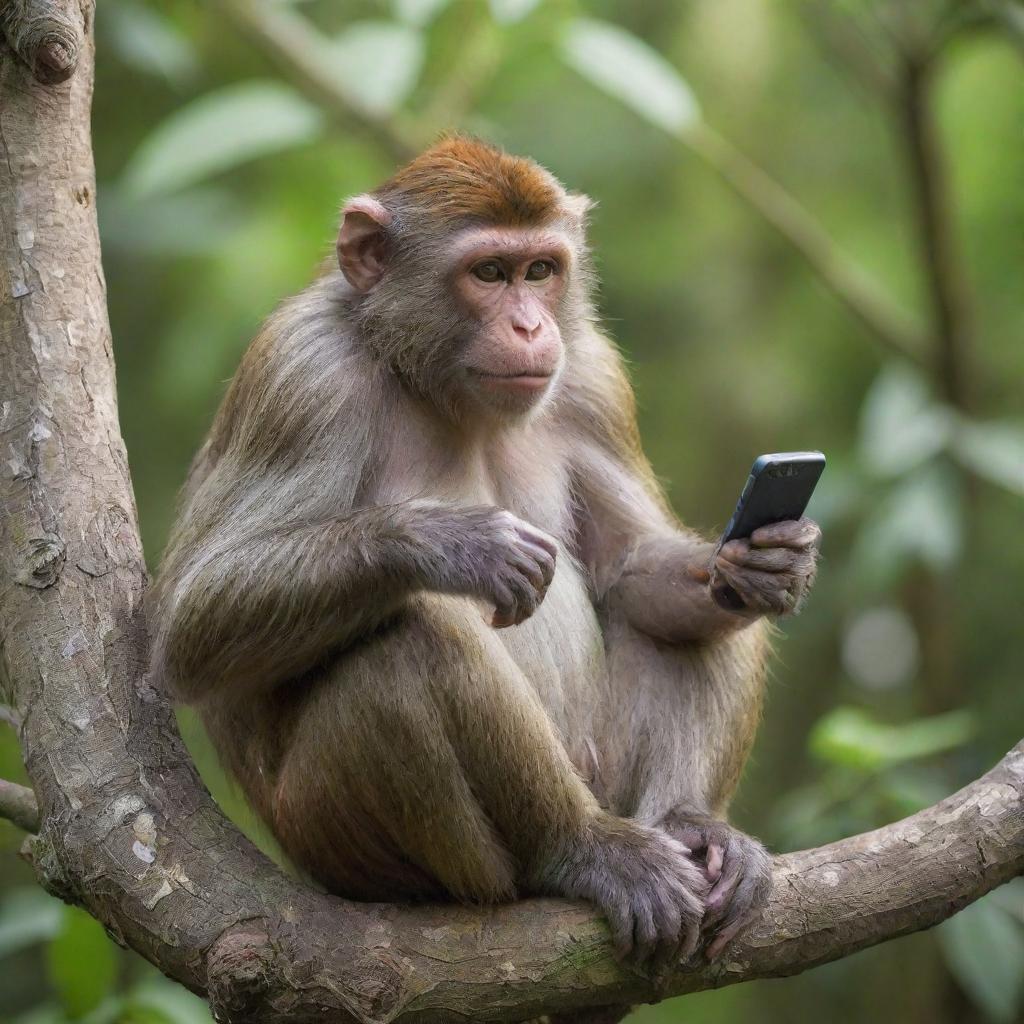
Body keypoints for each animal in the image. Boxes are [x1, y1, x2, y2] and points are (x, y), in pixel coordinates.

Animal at [153, 138, 823, 983]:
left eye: (540, 270)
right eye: (489, 273)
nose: (533, 326)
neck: (425, 376)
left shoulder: (594, 376)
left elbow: (630, 569)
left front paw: (765, 564)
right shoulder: (301, 375)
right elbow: (190, 628)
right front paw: (456, 543)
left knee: (693, 624)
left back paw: (692, 825)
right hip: (334, 834)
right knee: (410, 644)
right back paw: (576, 851)